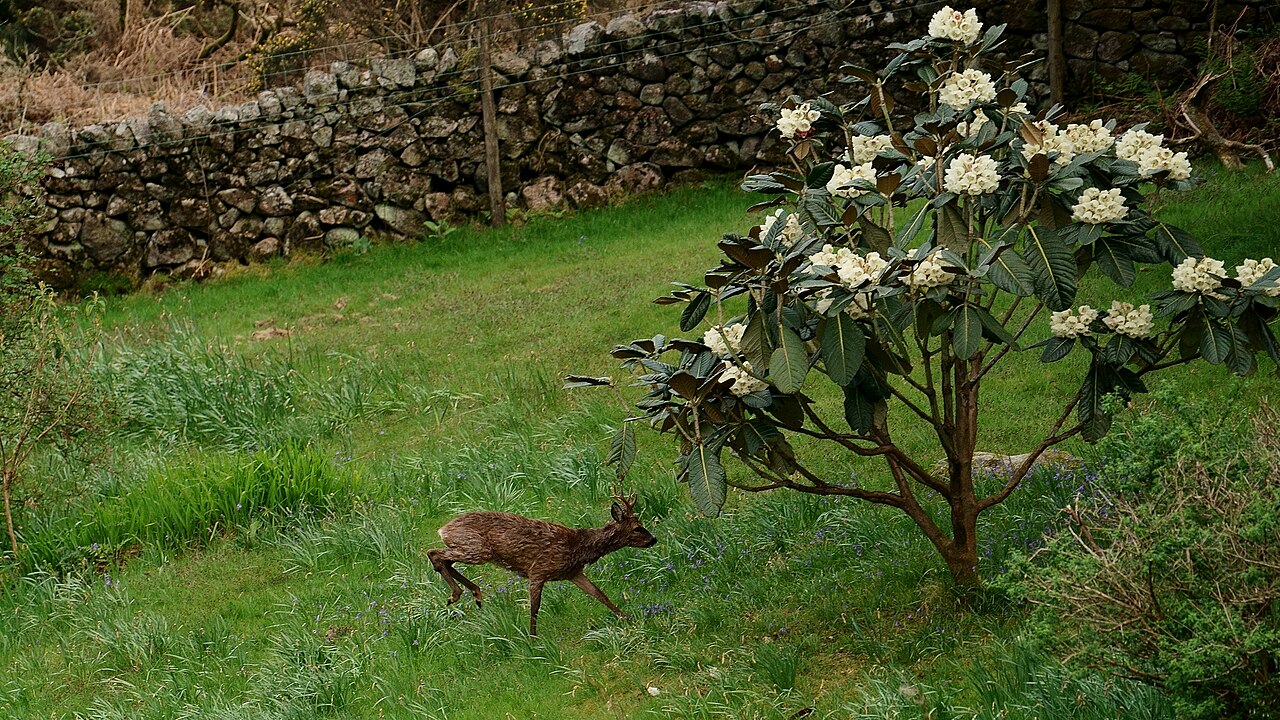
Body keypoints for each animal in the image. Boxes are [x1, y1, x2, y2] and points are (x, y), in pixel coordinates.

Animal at [426, 494, 657, 635]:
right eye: (637, 528)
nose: (653, 539)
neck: (578, 548)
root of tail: (443, 529)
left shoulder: (574, 573)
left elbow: (599, 594)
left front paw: (627, 618)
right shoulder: (538, 570)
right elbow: (535, 607)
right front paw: (533, 639)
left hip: (471, 549)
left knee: (445, 560)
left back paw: (475, 593)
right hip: (477, 549)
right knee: (434, 553)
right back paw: (458, 594)